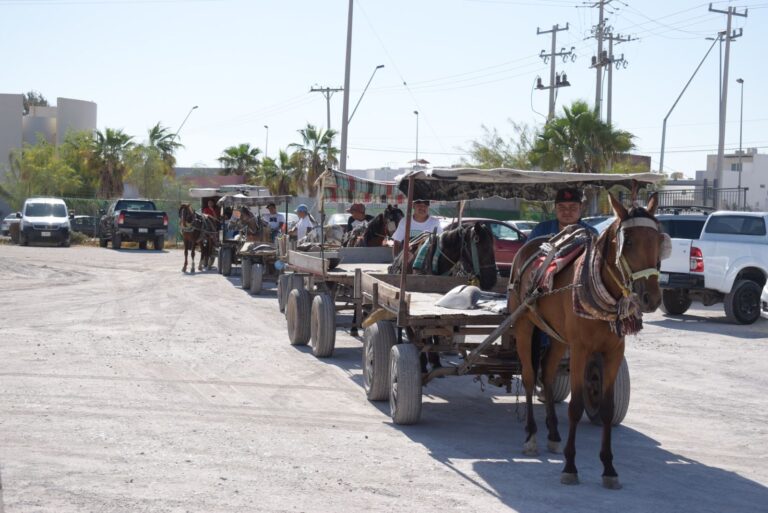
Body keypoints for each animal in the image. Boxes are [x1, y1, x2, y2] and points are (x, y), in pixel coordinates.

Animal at [508, 192, 664, 488]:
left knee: (547, 374)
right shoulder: (581, 349)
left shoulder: (614, 351)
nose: (650, 298)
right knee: (530, 377)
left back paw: (553, 434)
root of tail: (529, 245)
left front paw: (609, 468)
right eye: (628, 242)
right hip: (523, 324)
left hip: (557, 337)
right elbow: (576, 407)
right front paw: (570, 466)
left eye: (660, 240)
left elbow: (607, 408)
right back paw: (531, 435)